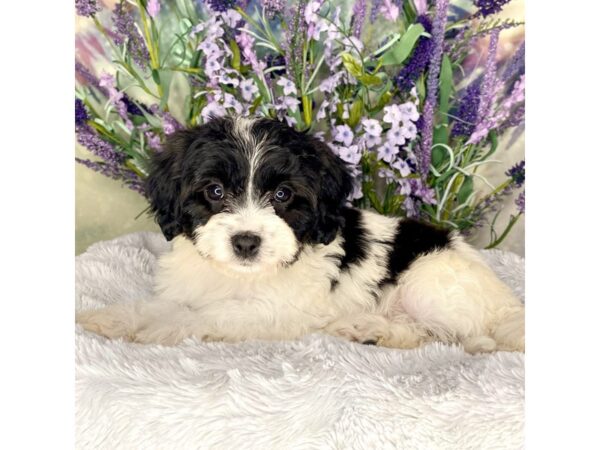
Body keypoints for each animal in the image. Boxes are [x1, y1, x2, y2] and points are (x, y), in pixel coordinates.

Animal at [77, 115, 524, 352]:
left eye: (282, 194)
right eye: (215, 191)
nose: (246, 242)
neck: (240, 277)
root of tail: (508, 306)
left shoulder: (280, 311)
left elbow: (211, 313)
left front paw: (163, 329)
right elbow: (161, 305)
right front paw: (113, 318)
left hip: (432, 282)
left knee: (458, 336)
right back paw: (370, 330)